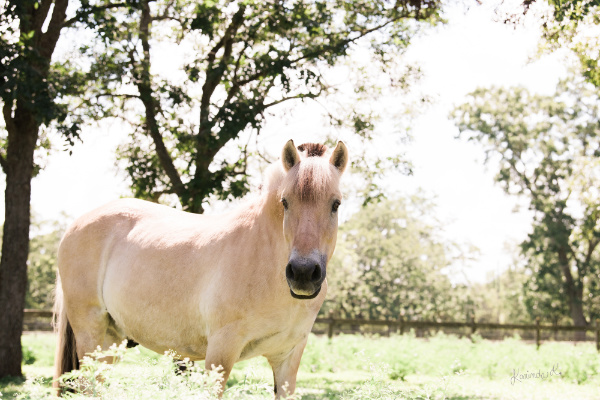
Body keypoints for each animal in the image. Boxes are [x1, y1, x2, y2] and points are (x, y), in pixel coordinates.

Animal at [54, 141, 350, 396]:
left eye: (335, 204)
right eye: (285, 202)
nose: (303, 273)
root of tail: (75, 225)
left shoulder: (287, 358)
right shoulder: (220, 352)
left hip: (111, 340)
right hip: (90, 334)